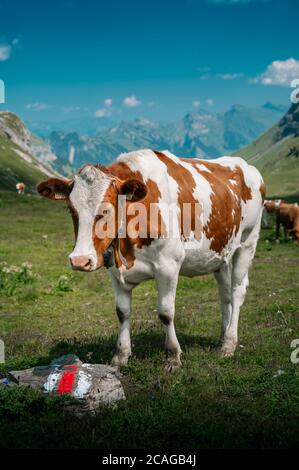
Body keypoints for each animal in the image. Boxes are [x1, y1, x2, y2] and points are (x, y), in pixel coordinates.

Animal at [37, 151, 264, 370]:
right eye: (71, 209)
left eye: (107, 210)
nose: (80, 260)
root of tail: (246, 166)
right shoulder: (114, 272)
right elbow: (122, 312)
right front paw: (120, 356)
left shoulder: (168, 265)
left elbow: (165, 312)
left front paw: (173, 356)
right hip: (221, 254)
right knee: (225, 295)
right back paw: (222, 339)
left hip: (247, 242)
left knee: (237, 292)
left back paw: (229, 344)